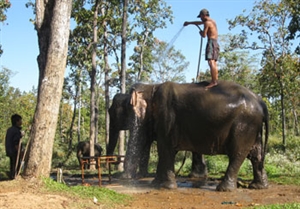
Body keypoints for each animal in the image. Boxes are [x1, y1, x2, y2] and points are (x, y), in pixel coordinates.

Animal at [127, 81, 268, 192]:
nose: (128, 180)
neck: (152, 86)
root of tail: (260, 101)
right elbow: (166, 150)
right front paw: (155, 184)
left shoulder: (166, 117)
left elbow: (166, 149)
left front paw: (165, 187)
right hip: (253, 127)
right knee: (256, 155)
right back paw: (258, 186)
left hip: (244, 125)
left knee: (237, 154)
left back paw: (224, 189)